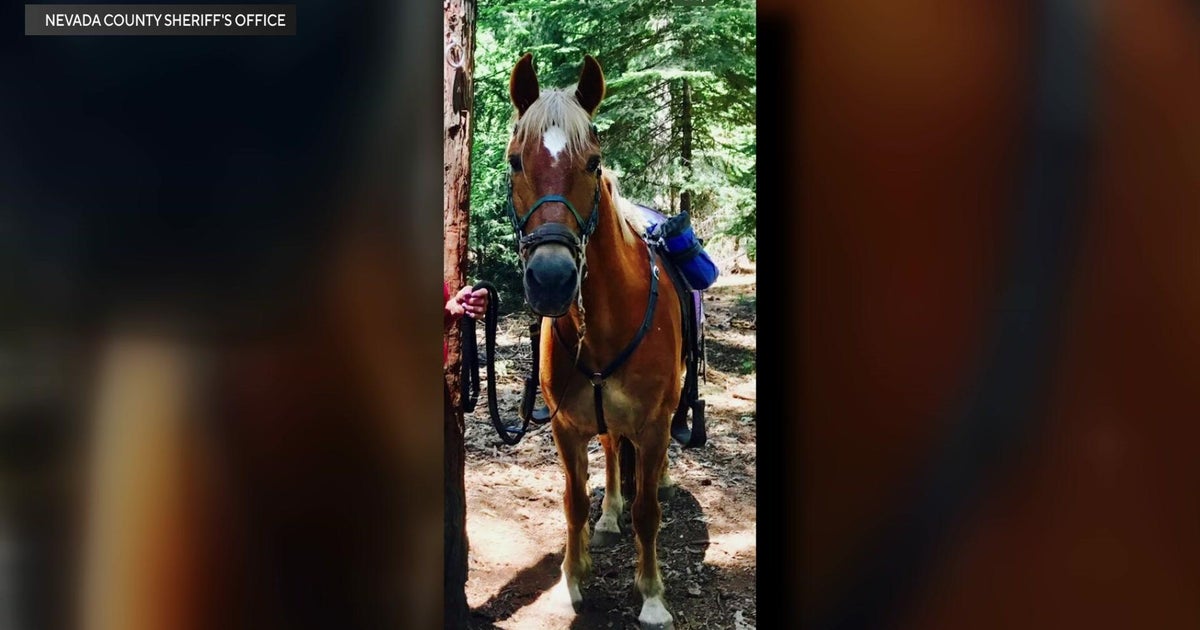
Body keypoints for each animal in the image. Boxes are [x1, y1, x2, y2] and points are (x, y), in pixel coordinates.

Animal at [505, 53, 685, 629]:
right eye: (515, 162)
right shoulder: (566, 425)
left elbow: (648, 513)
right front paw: (571, 580)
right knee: (609, 450)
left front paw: (652, 597)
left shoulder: (652, 424)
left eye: (593, 161)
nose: (552, 278)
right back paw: (609, 516)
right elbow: (574, 502)